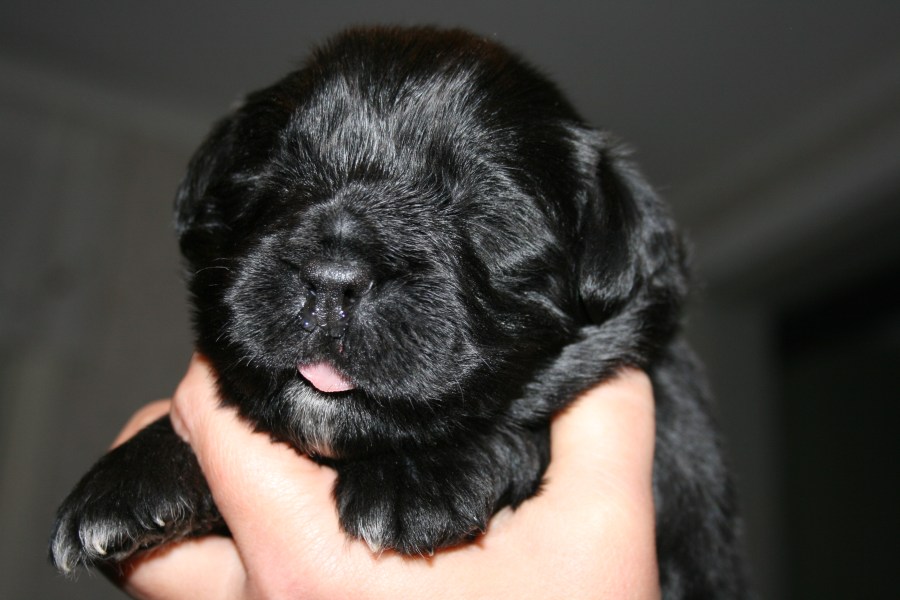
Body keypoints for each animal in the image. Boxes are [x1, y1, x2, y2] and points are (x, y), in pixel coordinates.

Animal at [50, 26, 746, 597]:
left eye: (490, 216)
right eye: (274, 180)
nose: (331, 280)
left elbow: (529, 424)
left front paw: (418, 475)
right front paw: (133, 477)